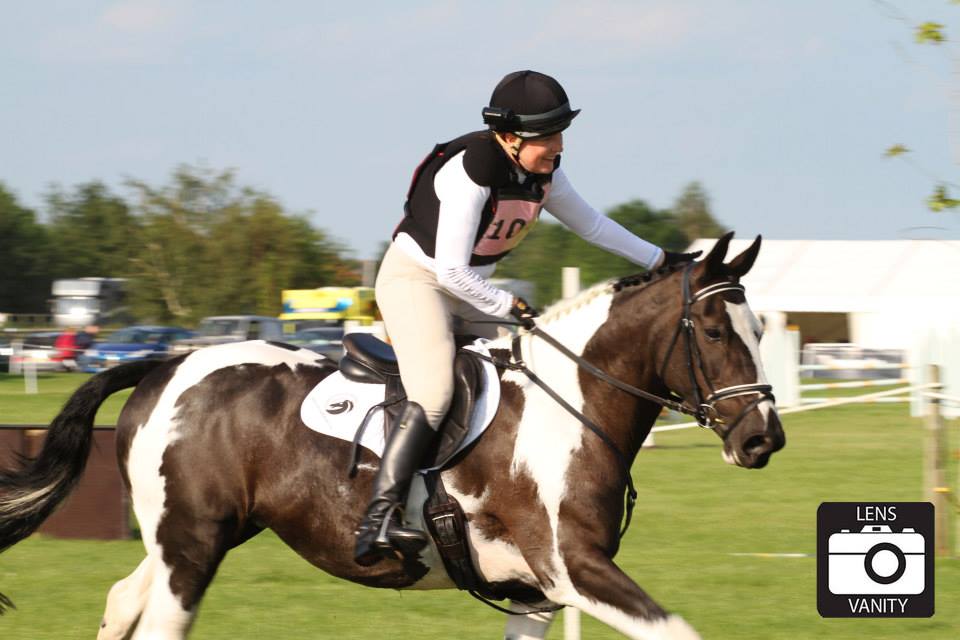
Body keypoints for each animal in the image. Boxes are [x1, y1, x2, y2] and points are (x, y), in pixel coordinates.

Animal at [0, 232, 784, 640]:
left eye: (762, 328)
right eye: (714, 332)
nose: (762, 442)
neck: (572, 405)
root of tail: (167, 363)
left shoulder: (535, 592)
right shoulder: (574, 569)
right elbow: (678, 632)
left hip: (192, 537)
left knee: (123, 600)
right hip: (192, 546)